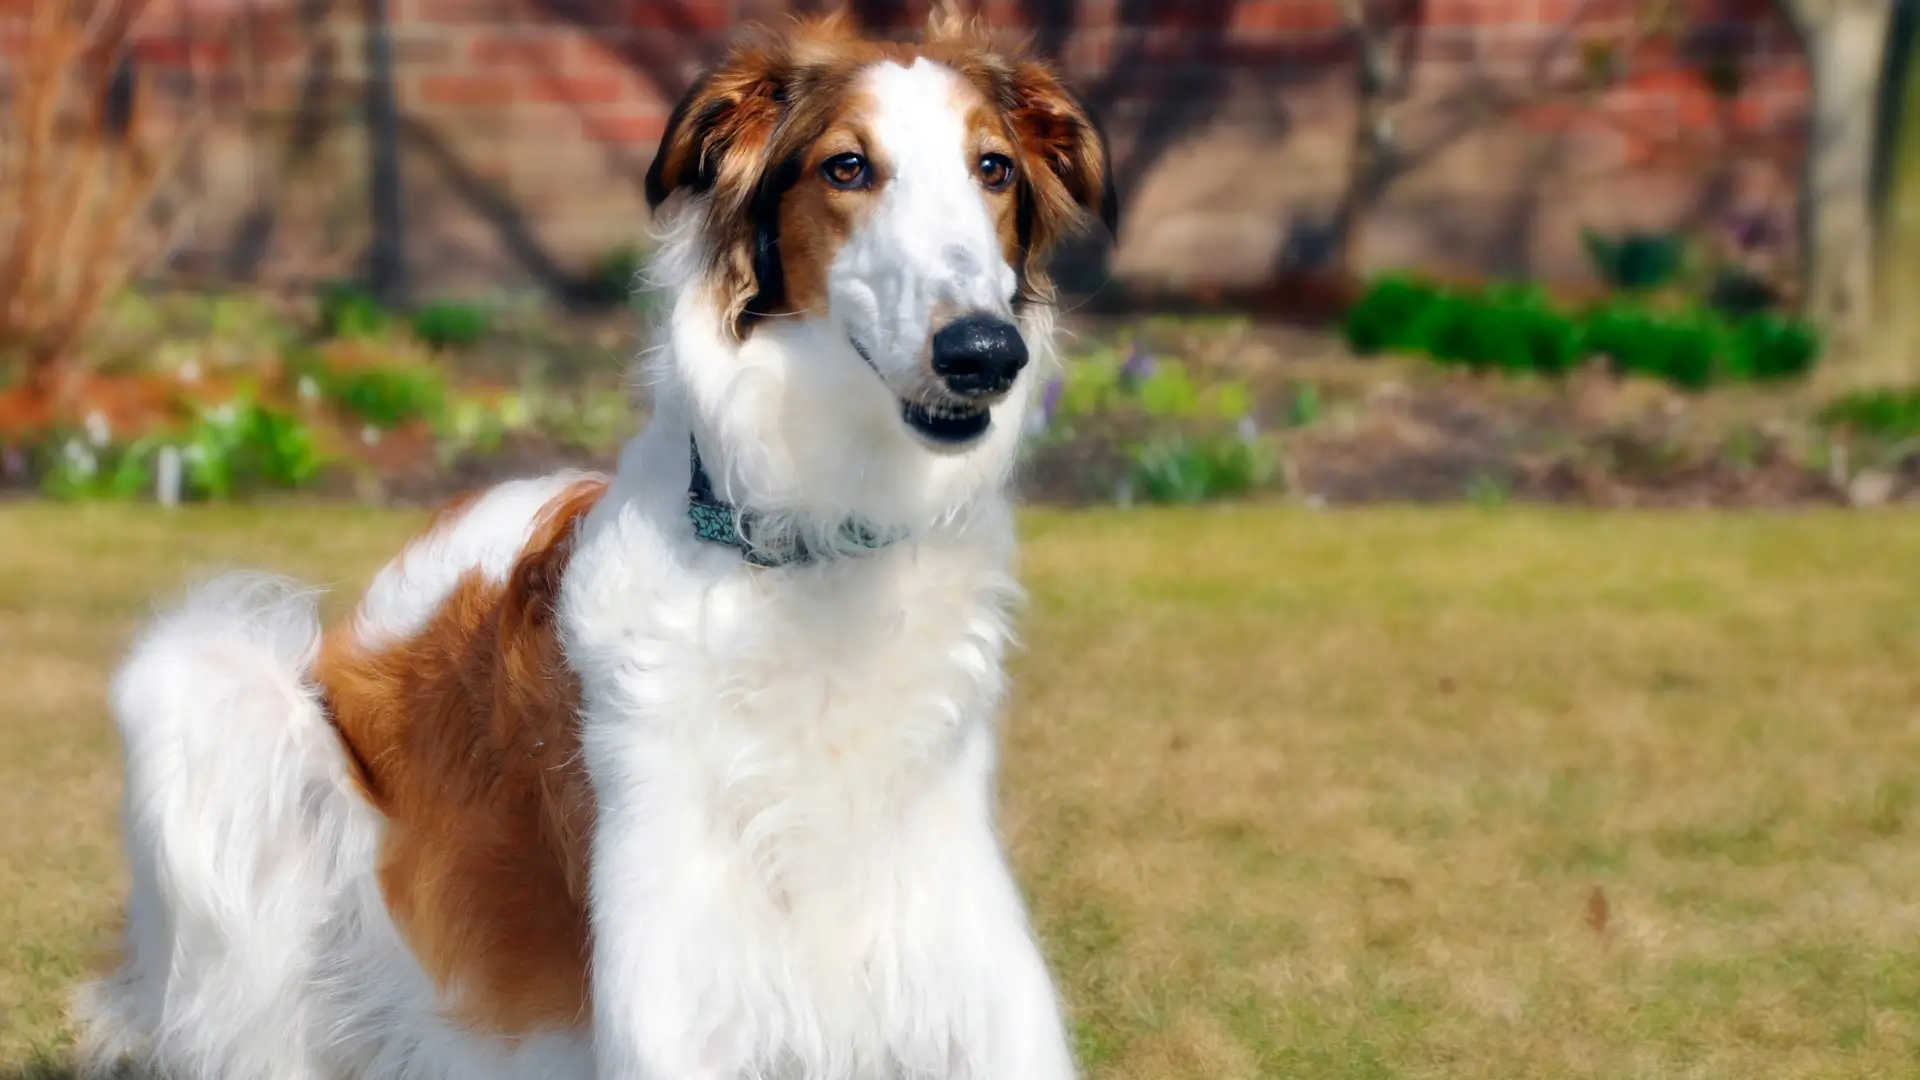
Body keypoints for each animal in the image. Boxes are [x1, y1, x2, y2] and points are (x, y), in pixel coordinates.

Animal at [82, 8, 1121, 1076]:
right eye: (847, 167)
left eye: (993, 168)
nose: (984, 354)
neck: (817, 551)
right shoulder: (671, 982)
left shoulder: (973, 974)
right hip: (205, 685)